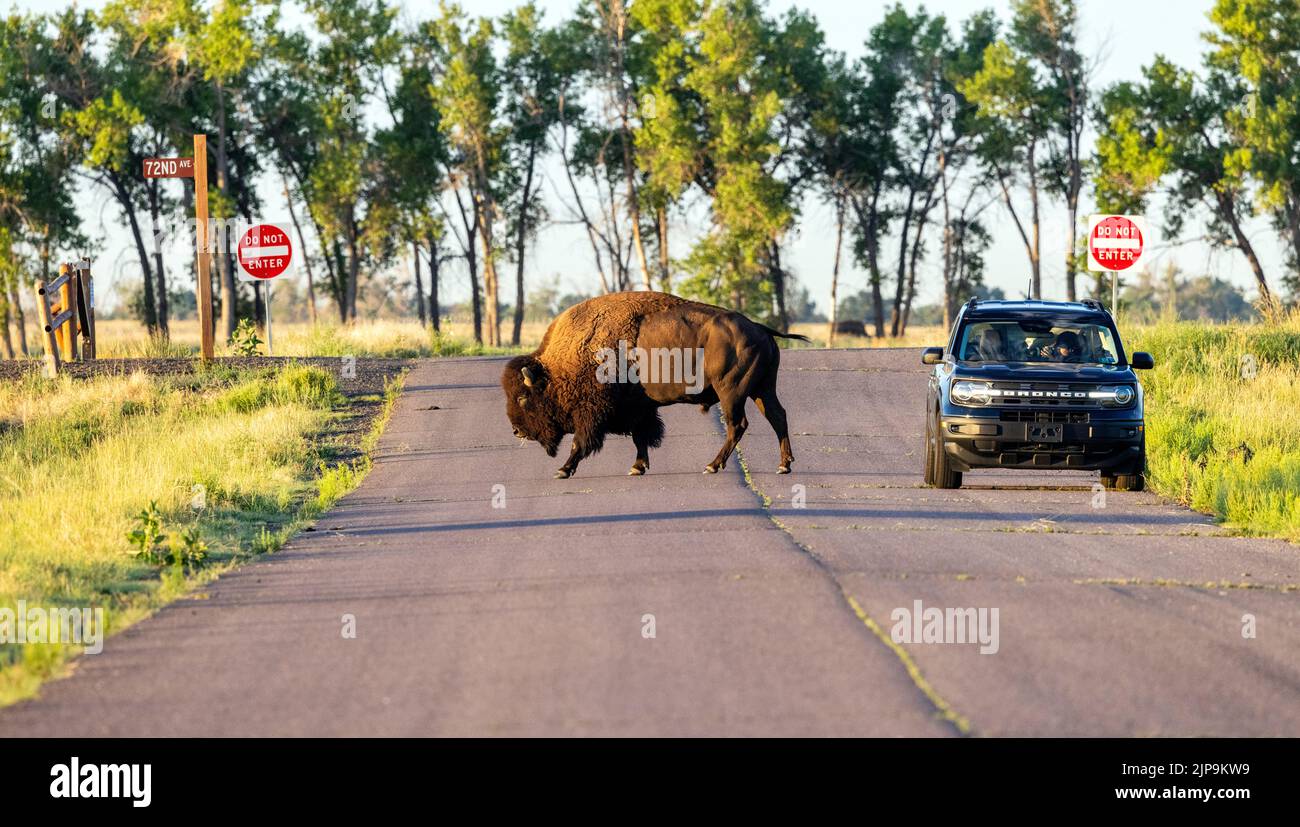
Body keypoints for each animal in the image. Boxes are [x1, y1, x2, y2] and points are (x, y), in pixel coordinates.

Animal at [502, 291, 808, 479]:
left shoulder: (591, 415)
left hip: (731, 393)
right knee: (777, 417)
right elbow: (641, 436)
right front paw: (638, 467)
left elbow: (580, 442)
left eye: (522, 398)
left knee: (738, 425)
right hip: (761, 390)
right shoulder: (640, 408)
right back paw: (784, 465)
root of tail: (760, 328)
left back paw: (712, 466)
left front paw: (563, 470)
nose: (516, 431)